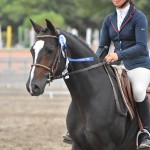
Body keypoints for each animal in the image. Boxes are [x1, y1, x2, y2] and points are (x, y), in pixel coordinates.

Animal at [25, 19, 138, 149]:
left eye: (50, 50)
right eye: (32, 50)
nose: (32, 86)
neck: (88, 99)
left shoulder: (108, 146)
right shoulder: (78, 144)